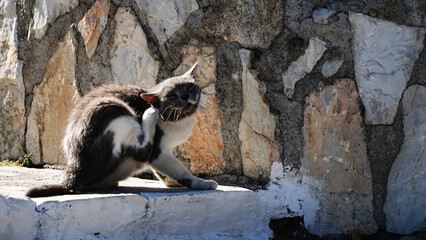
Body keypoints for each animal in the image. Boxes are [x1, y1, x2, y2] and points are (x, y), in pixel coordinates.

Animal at [26, 62, 218, 198]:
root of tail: (76, 165)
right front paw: (201, 182)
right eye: (172, 95)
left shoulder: (163, 154)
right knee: (141, 151)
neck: (181, 122)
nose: (185, 96)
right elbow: (180, 170)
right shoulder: (159, 151)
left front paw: (172, 182)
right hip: (113, 107)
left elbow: (164, 172)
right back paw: (149, 114)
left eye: (188, 86)